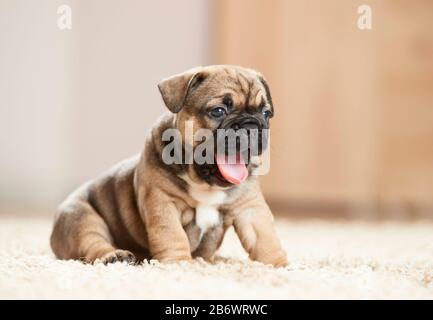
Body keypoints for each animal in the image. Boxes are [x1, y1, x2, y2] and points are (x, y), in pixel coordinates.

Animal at [50, 65, 286, 268]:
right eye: (218, 111)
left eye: (266, 113)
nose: (252, 125)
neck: (205, 183)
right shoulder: (162, 201)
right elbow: (172, 235)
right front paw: (178, 263)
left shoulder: (250, 208)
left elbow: (266, 238)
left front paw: (280, 265)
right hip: (81, 218)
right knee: (93, 243)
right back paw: (114, 256)